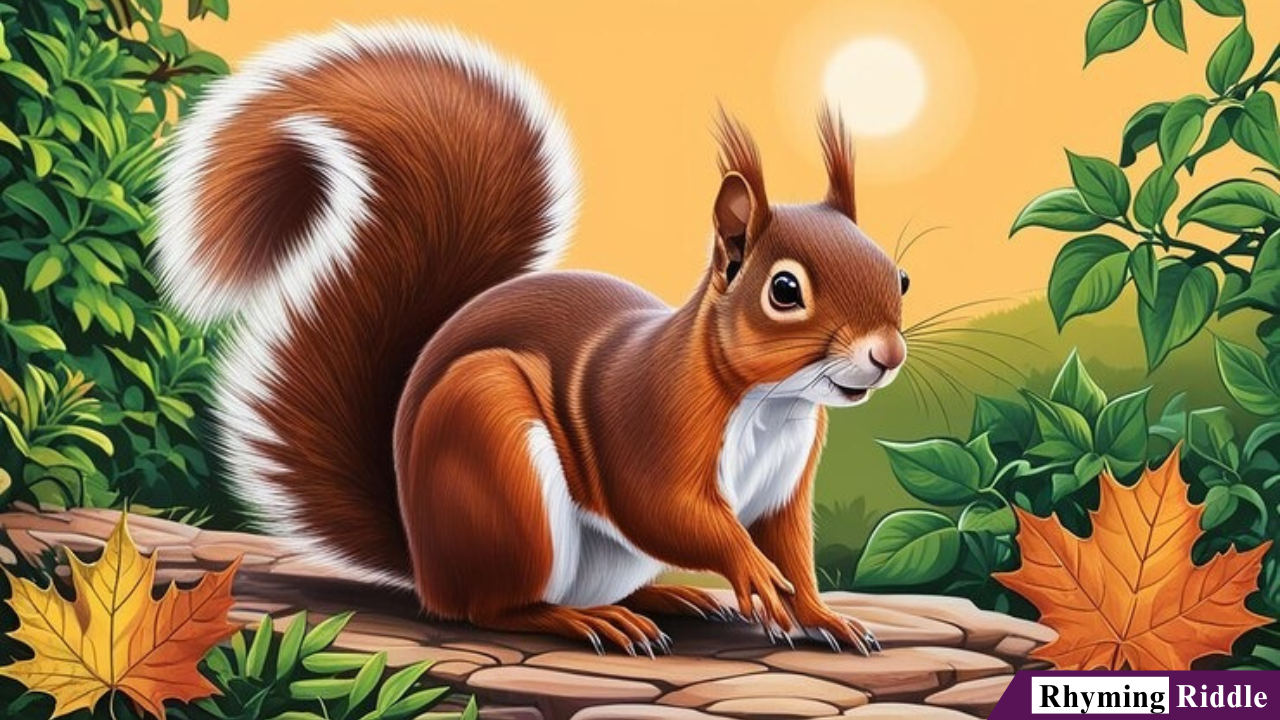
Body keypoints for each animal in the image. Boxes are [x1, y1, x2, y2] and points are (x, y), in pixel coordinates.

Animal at [154, 23, 908, 656]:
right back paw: (586, 619)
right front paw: (750, 572)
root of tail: (425, 564)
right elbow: (668, 510)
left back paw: (667, 597)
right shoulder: (649, 425)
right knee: (492, 608)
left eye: (898, 276)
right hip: (495, 457)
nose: (887, 355)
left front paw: (822, 615)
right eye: (784, 290)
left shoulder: (787, 485)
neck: (771, 403)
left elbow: (793, 551)